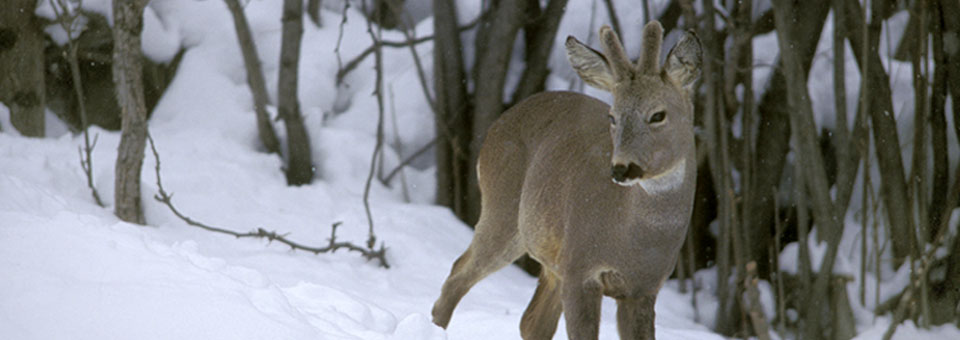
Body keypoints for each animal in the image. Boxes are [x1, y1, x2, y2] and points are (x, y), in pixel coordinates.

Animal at [432, 21, 700, 340]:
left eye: (658, 115)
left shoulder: (643, 290)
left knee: (531, 322)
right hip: (504, 212)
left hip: (550, 253)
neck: (634, 241)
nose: (622, 168)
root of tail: (498, 123)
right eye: (612, 116)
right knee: (457, 274)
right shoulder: (580, 269)